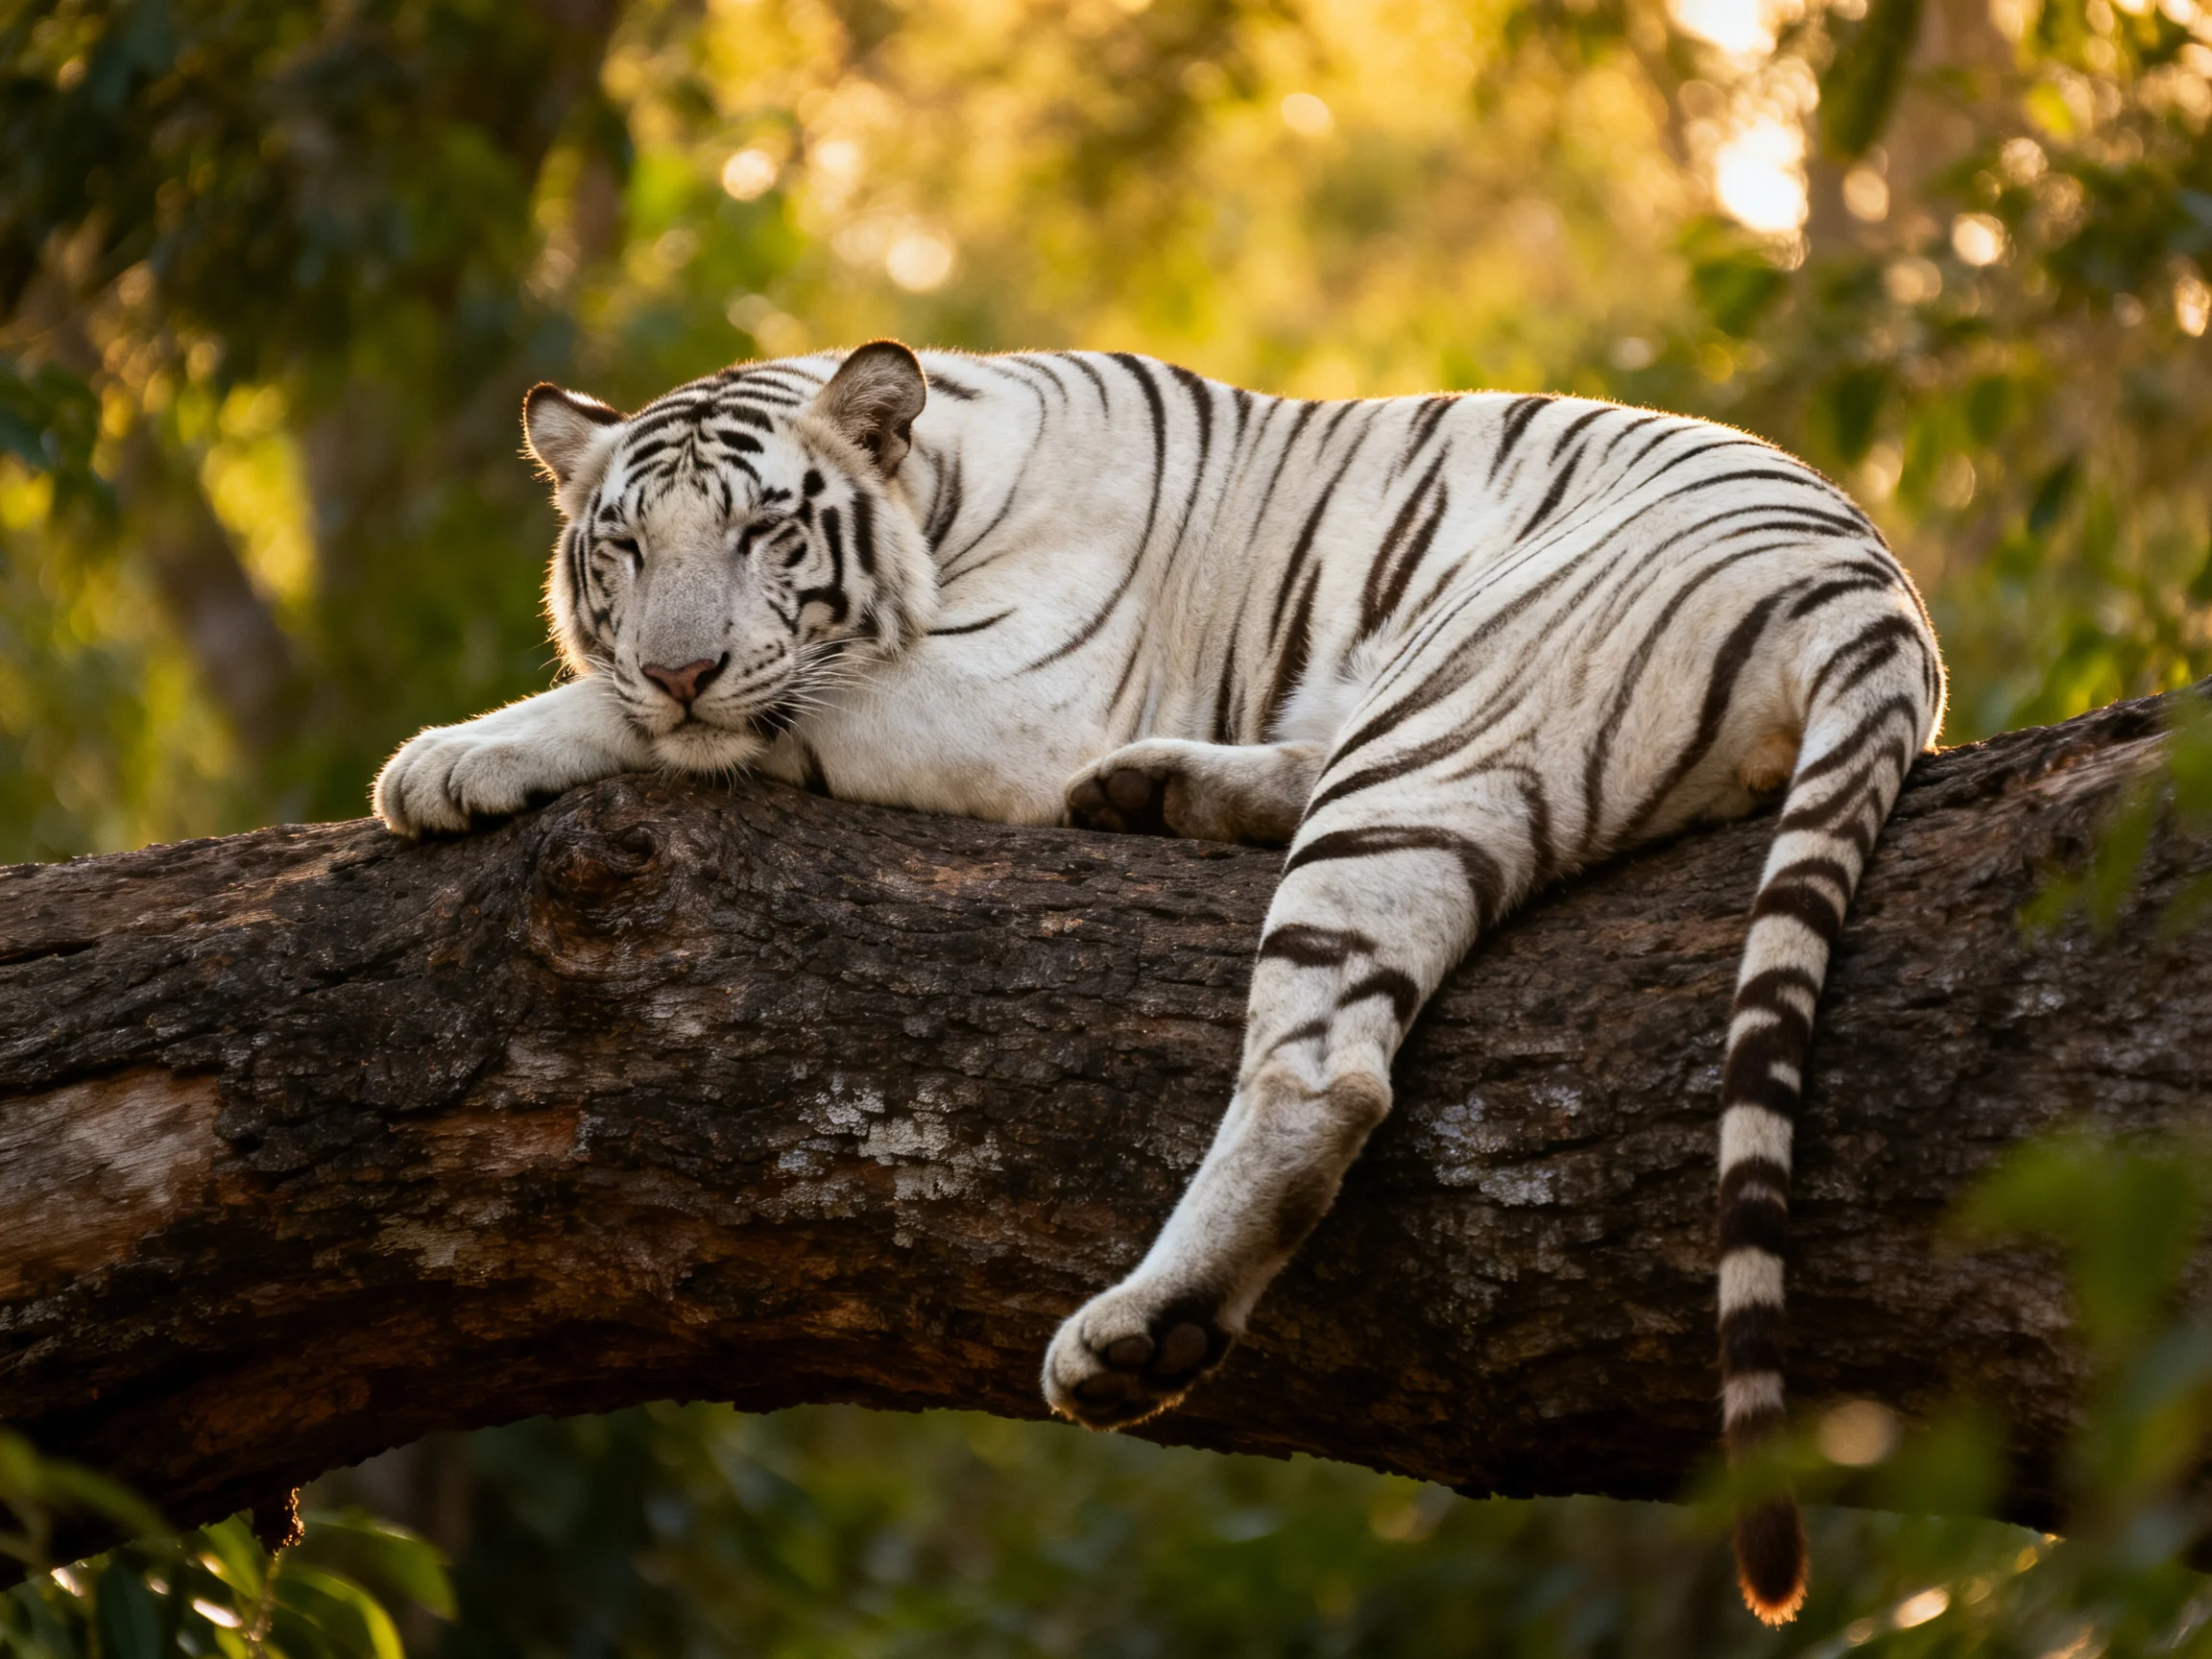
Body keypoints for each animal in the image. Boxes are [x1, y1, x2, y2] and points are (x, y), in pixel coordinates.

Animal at [373, 340, 1944, 1623]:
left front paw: (450, 756)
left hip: (1445, 720)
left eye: (767, 530)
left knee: (1325, 1074)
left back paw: (1138, 1334)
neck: (948, 493)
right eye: (625, 550)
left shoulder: (1002, 698)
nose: (682, 665)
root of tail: (1872, 591)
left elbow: (704, 720)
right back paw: (1154, 793)